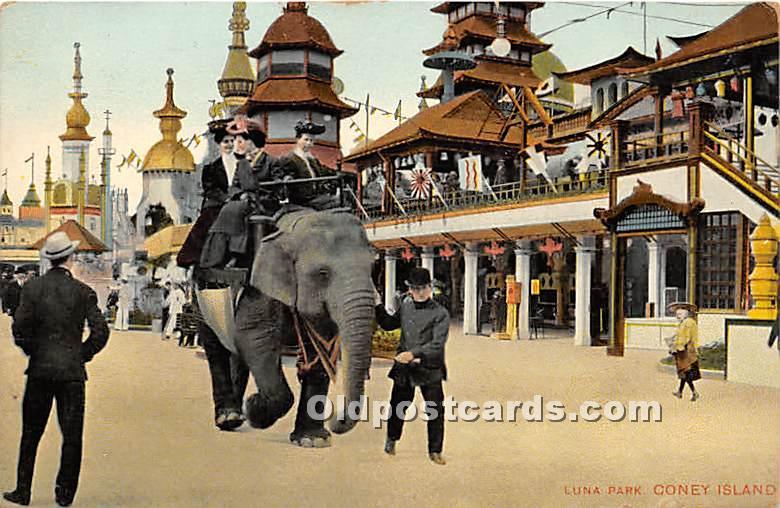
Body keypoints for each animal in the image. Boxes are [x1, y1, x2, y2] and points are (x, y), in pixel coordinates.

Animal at [233, 206, 376, 444]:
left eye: (373, 267)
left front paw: (313, 441)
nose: (335, 418)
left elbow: (321, 356)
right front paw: (253, 409)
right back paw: (230, 417)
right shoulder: (259, 285)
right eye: (322, 274)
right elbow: (256, 337)